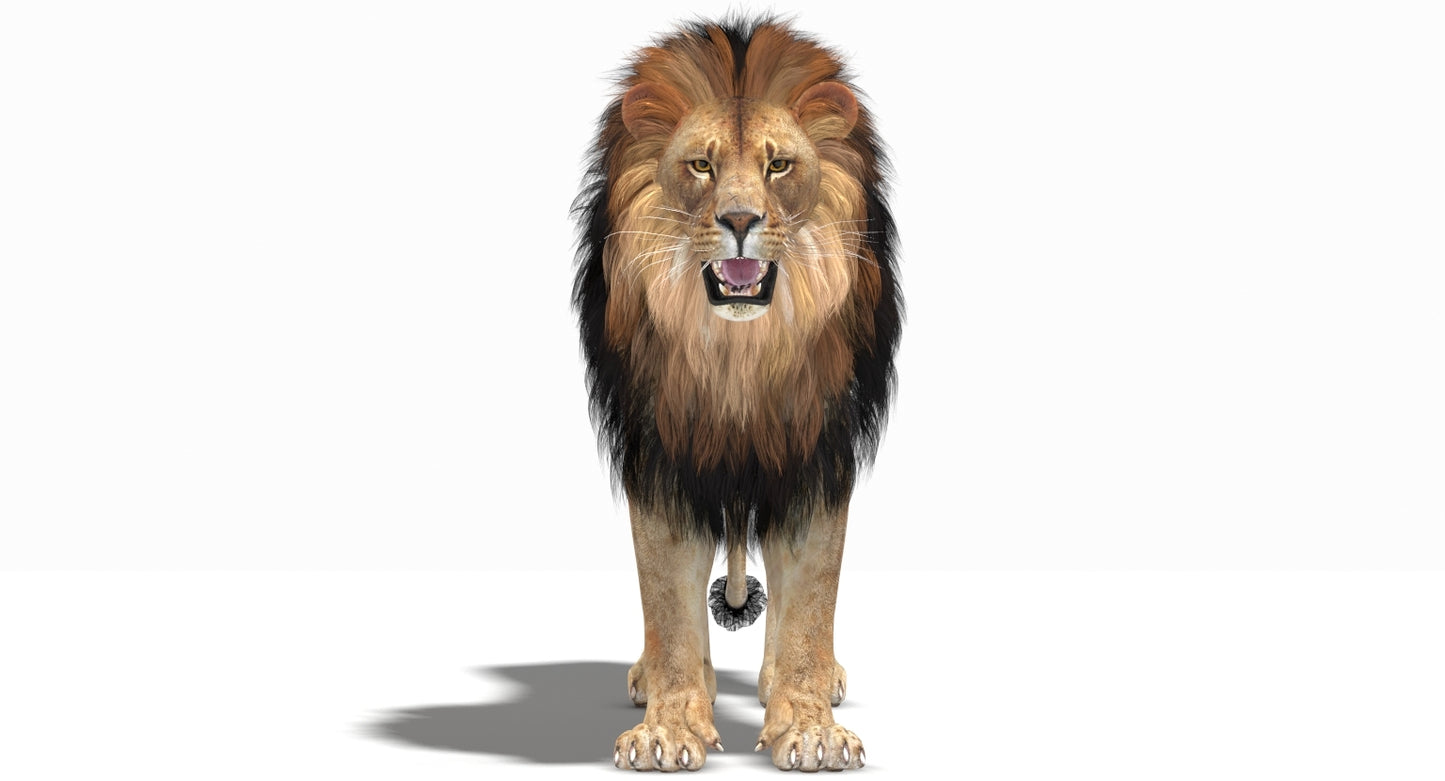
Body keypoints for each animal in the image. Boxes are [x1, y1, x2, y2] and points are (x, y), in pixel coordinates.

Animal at [572, 17, 901, 772]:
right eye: (701, 166)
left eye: (779, 166)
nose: (741, 220)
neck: (738, 358)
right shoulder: (661, 452)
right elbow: (666, 599)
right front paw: (667, 728)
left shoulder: (815, 452)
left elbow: (809, 600)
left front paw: (809, 727)